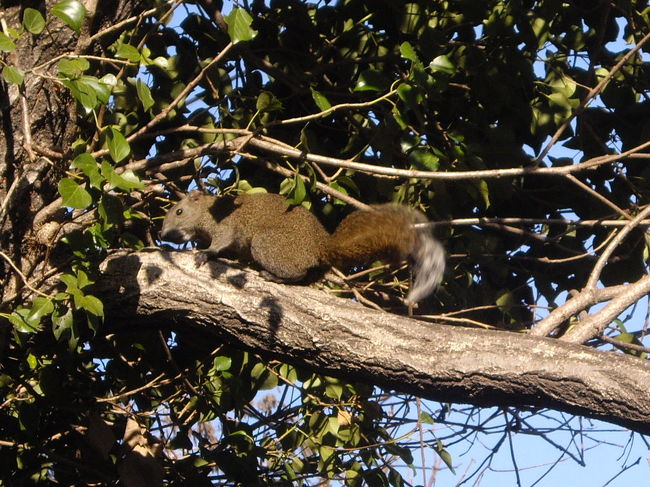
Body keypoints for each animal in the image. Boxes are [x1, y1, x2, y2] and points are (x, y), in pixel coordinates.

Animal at [161, 190, 446, 302]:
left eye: (179, 211)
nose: (163, 233)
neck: (210, 211)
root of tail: (321, 249)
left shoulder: (226, 225)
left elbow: (220, 242)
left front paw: (205, 253)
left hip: (267, 244)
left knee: (295, 273)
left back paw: (274, 277)